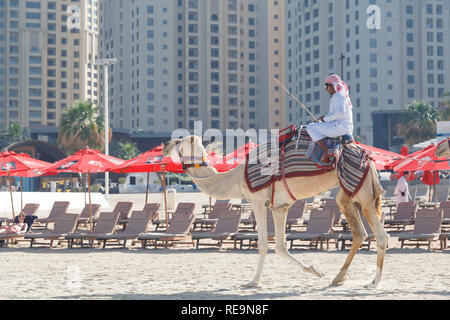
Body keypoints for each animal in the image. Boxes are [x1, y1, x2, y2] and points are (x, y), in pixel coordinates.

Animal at [163, 135, 388, 288]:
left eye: (179, 140)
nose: (164, 145)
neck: (237, 177)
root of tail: (369, 160)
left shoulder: (257, 201)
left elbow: (263, 243)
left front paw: (252, 281)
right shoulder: (280, 207)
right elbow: (280, 246)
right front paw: (315, 270)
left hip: (364, 196)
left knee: (381, 235)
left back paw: (373, 283)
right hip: (347, 194)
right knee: (360, 233)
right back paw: (338, 277)